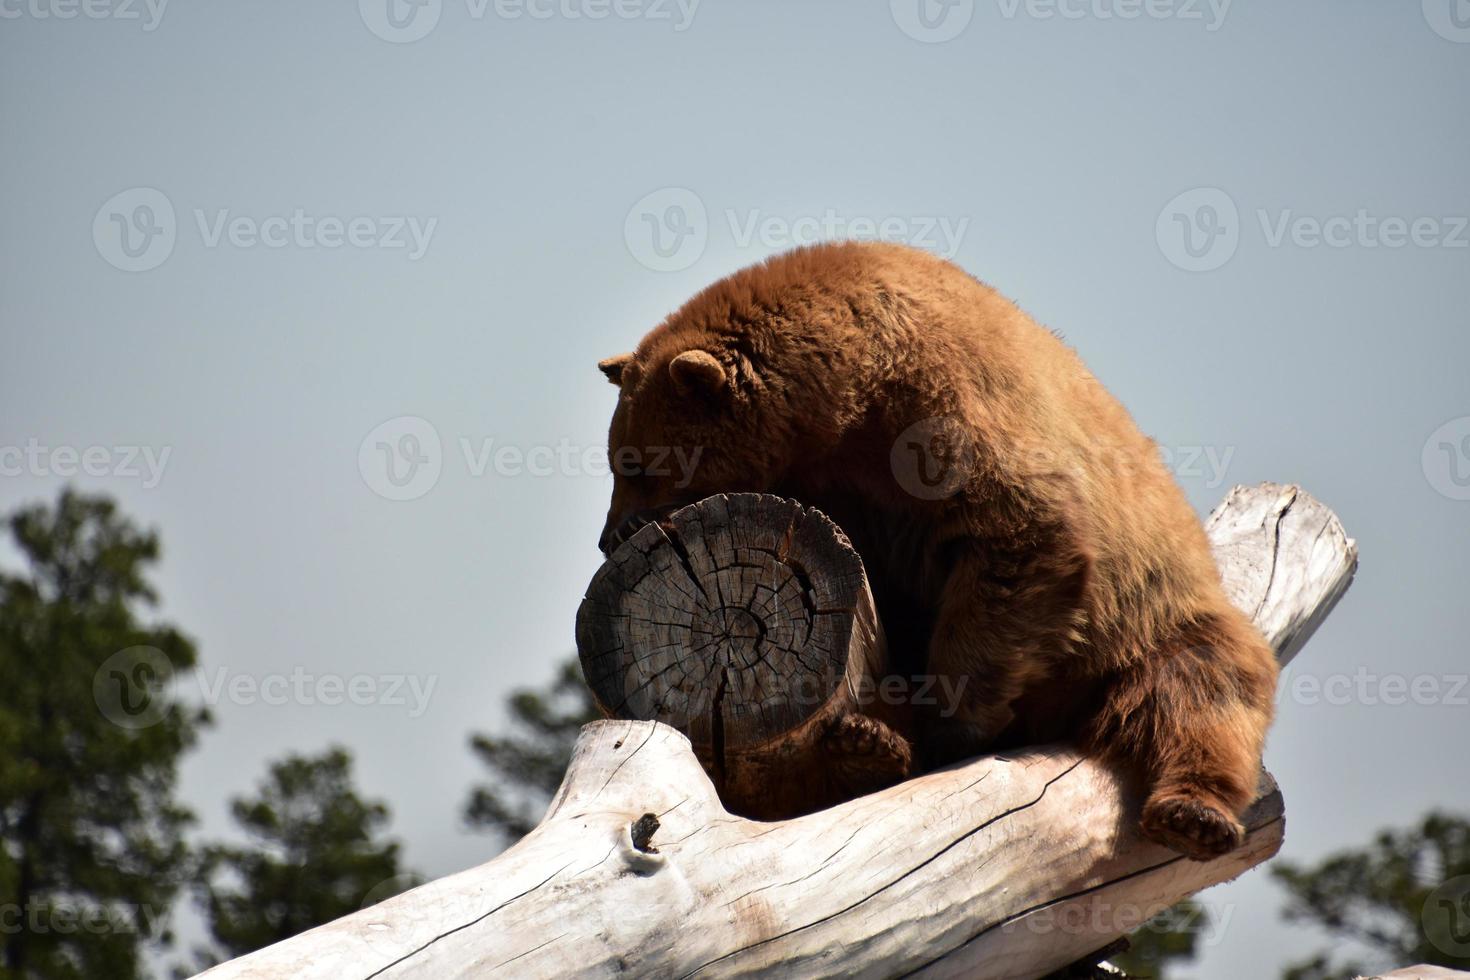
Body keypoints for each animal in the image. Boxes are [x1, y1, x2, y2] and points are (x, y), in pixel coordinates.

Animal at [593, 239, 1275, 858]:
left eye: (635, 463)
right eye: (617, 459)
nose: (608, 534)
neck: (848, 399)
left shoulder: (946, 415)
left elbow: (1019, 535)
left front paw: (951, 726)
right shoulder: (839, 491)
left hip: (1151, 620)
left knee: (1199, 690)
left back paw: (1194, 813)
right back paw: (865, 745)